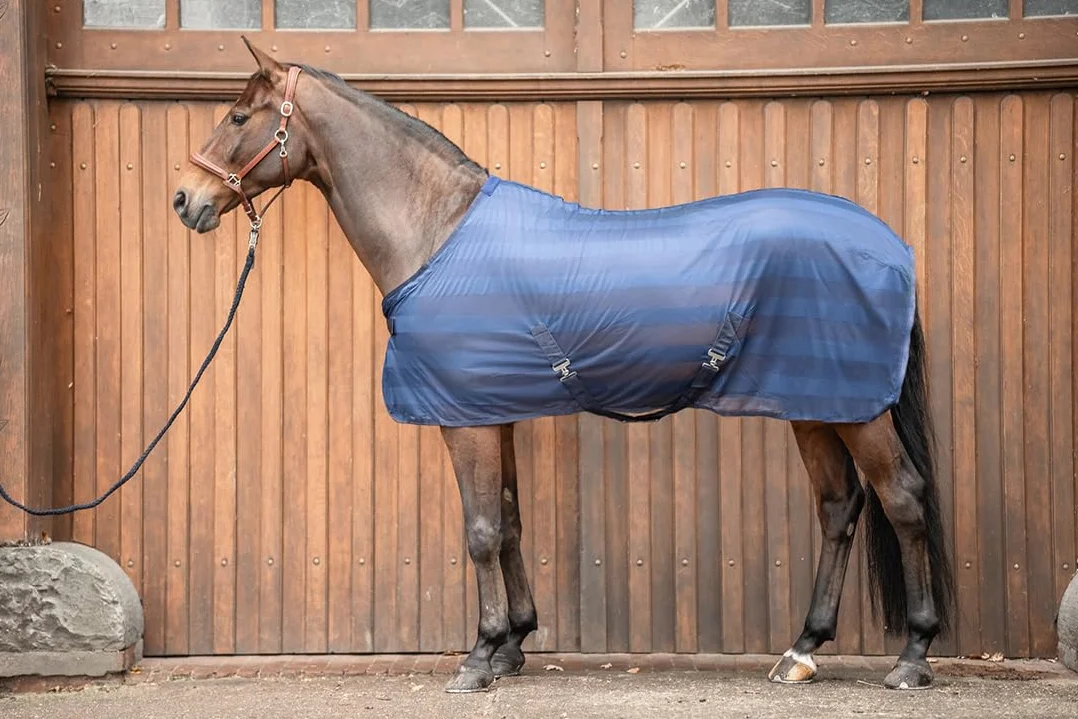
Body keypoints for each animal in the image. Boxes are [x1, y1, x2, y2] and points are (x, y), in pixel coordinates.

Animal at [174, 39, 954, 694]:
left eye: (239, 115)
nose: (185, 199)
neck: (438, 233)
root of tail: (892, 245)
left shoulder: (465, 421)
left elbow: (480, 530)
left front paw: (478, 657)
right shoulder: (492, 411)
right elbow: (511, 521)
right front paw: (513, 645)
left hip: (856, 409)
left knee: (903, 498)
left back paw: (913, 656)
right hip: (813, 403)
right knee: (839, 507)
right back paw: (801, 649)